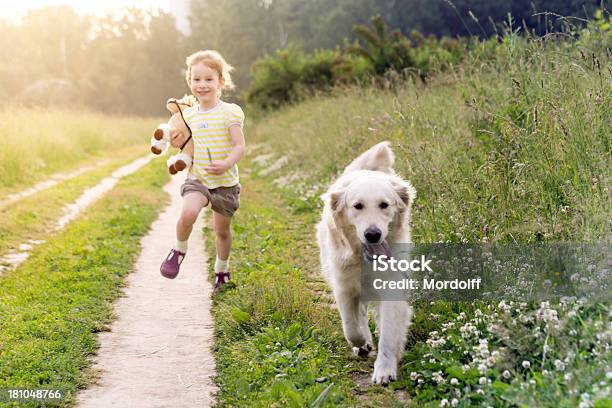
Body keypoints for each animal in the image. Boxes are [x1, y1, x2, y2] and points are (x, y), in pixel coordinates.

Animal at [316, 141, 416, 386]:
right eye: (358, 206)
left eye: (384, 205)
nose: (373, 234)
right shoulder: (344, 287)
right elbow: (351, 327)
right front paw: (362, 342)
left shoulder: (391, 289)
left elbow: (388, 333)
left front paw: (385, 368)